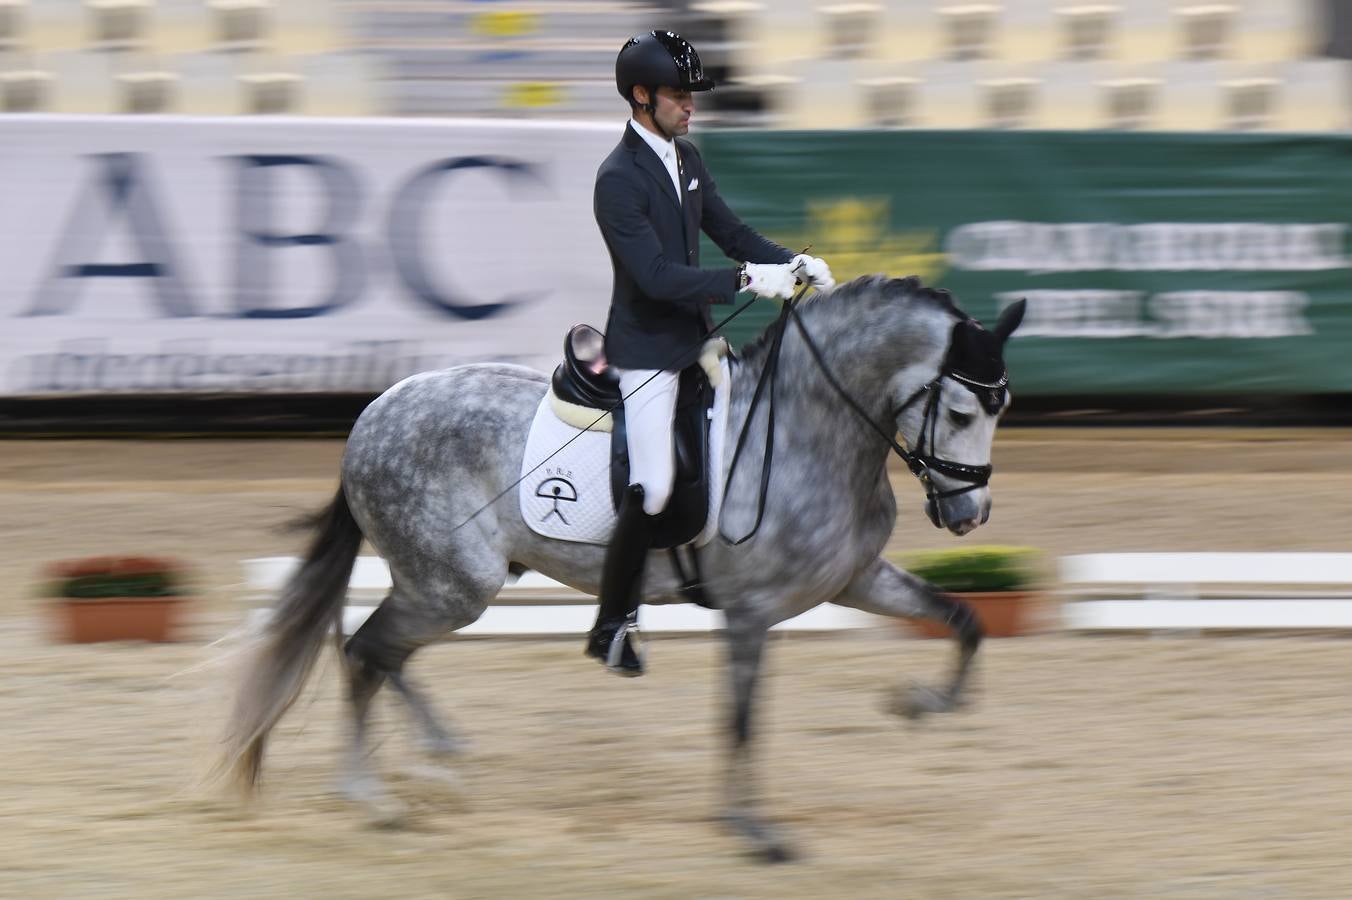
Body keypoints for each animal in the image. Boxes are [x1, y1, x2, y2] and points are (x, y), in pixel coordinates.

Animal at [219, 271, 1022, 854]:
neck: (805, 428)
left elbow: (964, 621)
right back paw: (374, 796)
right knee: (365, 651)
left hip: (441, 585)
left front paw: (920, 704)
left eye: (1002, 407)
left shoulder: (855, 580)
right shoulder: (751, 612)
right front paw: (753, 831)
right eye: (959, 412)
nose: (969, 516)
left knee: (381, 653)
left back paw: (437, 755)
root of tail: (373, 415)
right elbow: (741, 719)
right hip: (453, 587)